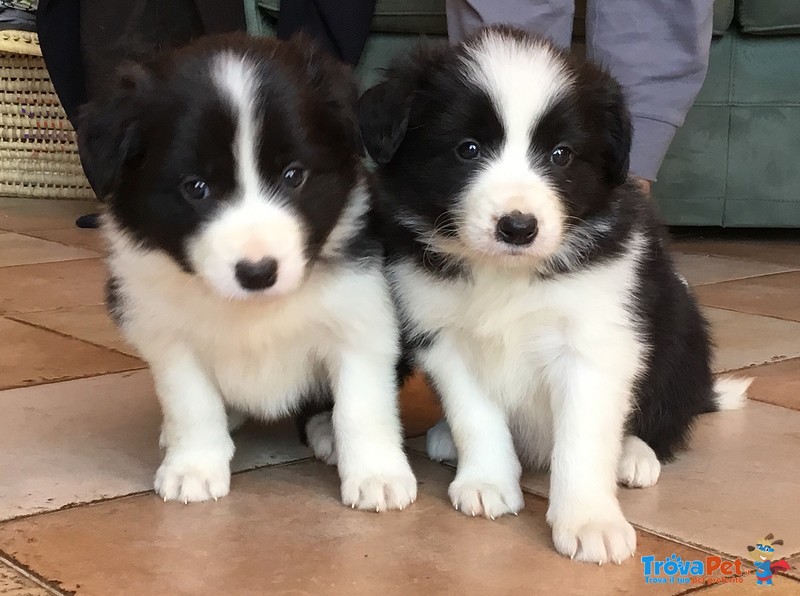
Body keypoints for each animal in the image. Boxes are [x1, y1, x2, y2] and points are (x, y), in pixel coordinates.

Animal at [78, 32, 416, 510]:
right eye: (196, 187)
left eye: (294, 175)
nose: (258, 273)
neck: (253, 307)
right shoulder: (167, 335)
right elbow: (193, 405)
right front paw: (194, 468)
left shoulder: (360, 318)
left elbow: (361, 407)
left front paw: (378, 476)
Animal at [356, 24, 752, 564]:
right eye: (467, 149)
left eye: (561, 155)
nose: (518, 227)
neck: (506, 274)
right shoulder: (444, 337)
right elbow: (474, 415)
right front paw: (487, 483)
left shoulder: (594, 340)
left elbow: (583, 438)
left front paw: (590, 522)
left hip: (681, 336)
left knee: (663, 417)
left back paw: (635, 454)